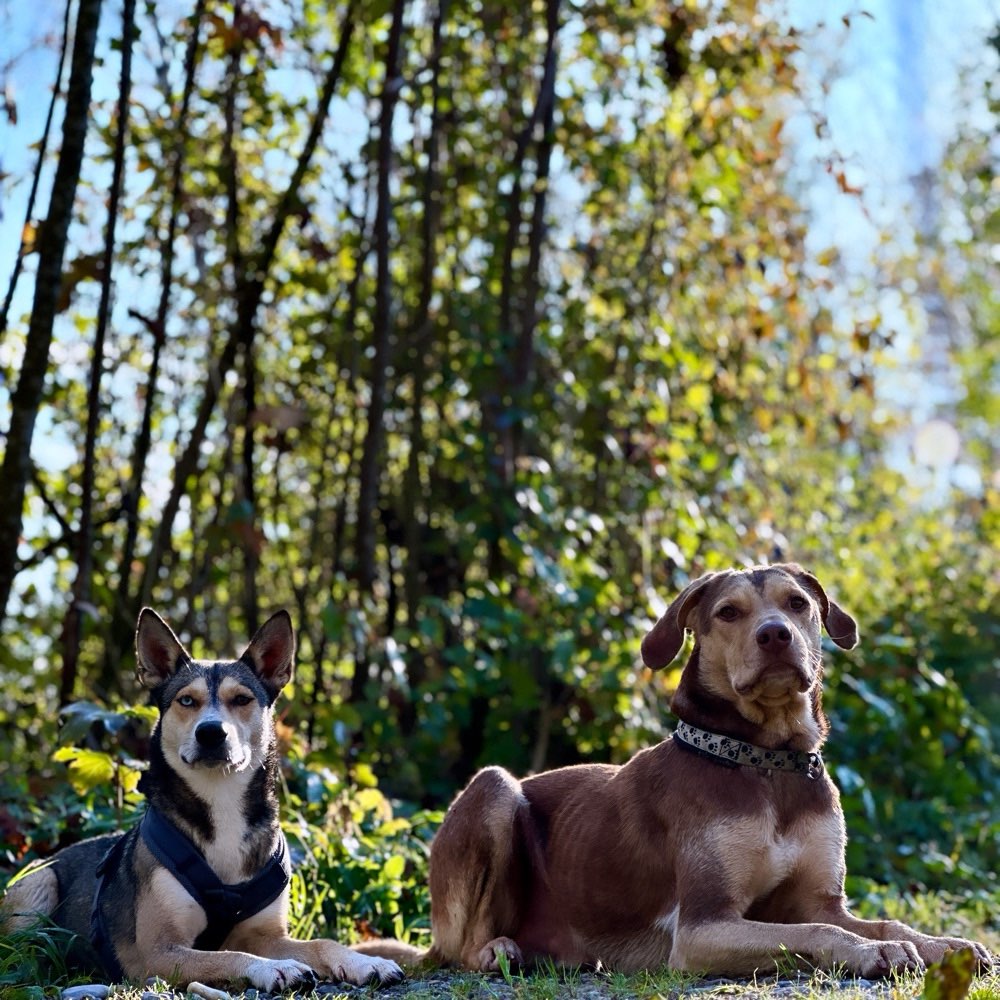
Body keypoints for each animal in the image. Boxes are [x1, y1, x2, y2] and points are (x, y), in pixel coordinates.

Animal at [428, 564, 992, 976]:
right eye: (728, 612)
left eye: (798, 603)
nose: (775, 635)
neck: (767, 762)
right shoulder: (703, 927)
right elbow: (815, 933)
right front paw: (871, 952)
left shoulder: (822, 901)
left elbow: (883, 922)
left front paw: (941, 943)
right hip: (494, 790)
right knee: (462, 945)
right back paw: (496, 951)